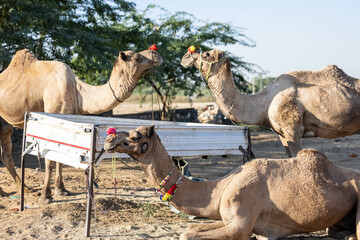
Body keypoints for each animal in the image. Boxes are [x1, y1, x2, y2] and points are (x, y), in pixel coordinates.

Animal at [0, 47, 162, 202]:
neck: (77, 91)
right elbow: (50, 159)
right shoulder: (51, 117)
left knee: (6, 153)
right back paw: (8, 192)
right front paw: (46, 196)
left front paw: (61, 190)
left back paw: (24, 189)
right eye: (137, 57)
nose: (156, 54)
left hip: (5, 123)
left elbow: (61, 158)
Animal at [102, 125, 358, 240]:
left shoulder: (240, 224)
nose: (108, 138)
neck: (221, 188)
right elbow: (190, 228)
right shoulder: (228, 219)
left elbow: (188, 234)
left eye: (136, 136)